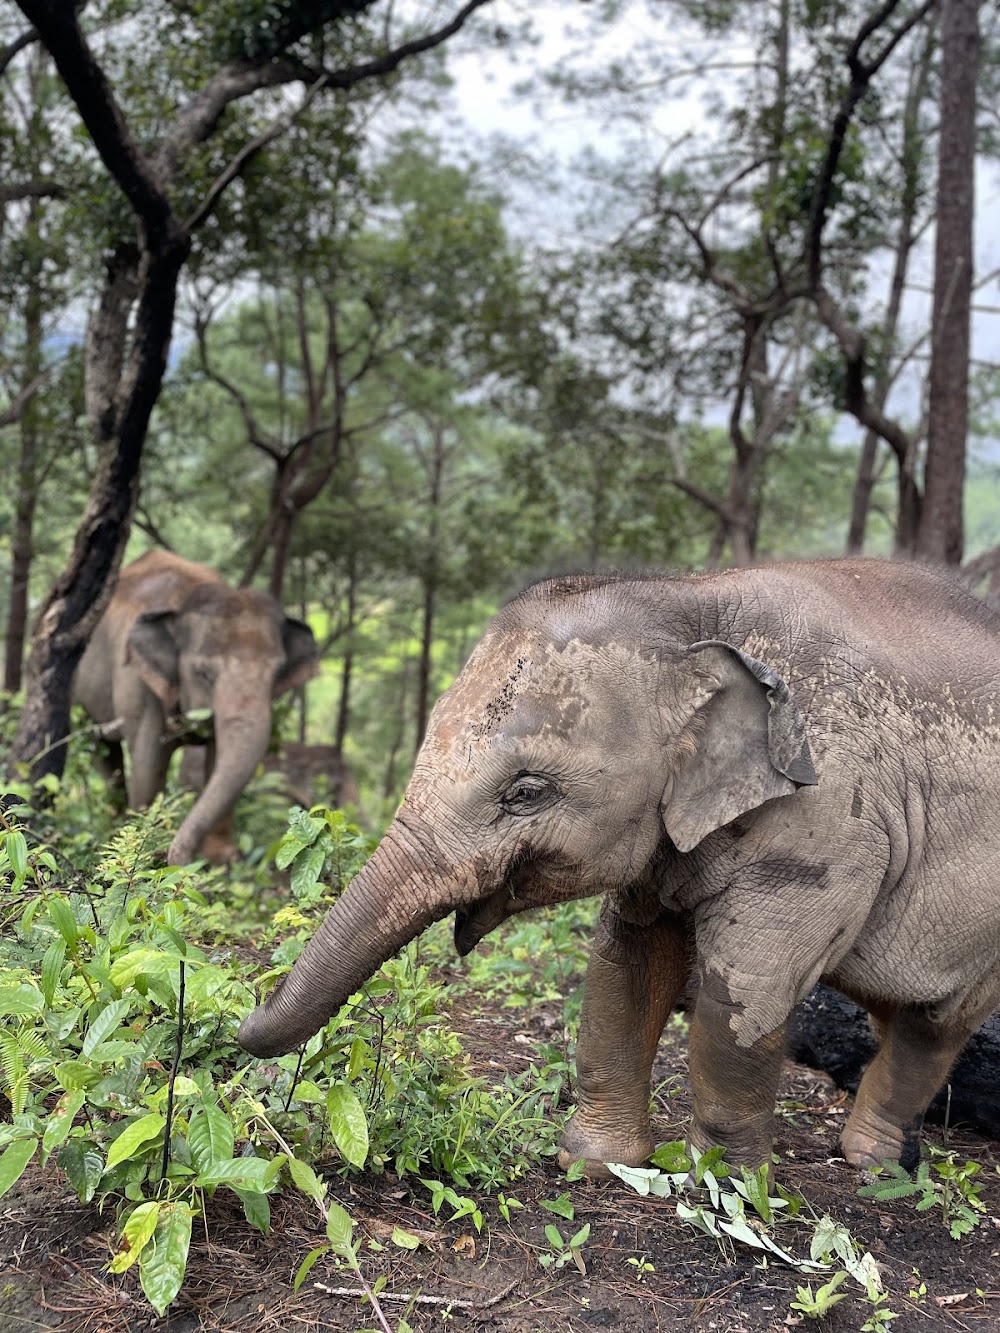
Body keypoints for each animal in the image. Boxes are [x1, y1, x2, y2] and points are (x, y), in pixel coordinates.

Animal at [73, 549, 317, 863]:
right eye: (204, 674)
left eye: (276, 674)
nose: (177, 858)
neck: (187, 599)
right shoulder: (137, 681)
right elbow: (148, 762)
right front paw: (143, 847)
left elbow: (217, 759)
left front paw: (221, 859)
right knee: (101, 748)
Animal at [241, 562, 1000, 1178]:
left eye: (526, 792)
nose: (242, 1020)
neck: (692, 602)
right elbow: (625, 962)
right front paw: (595, 1163)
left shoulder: (828, 823)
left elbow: (745, 987)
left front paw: (728, 1190)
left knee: (937, 1021)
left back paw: (874, 1165)